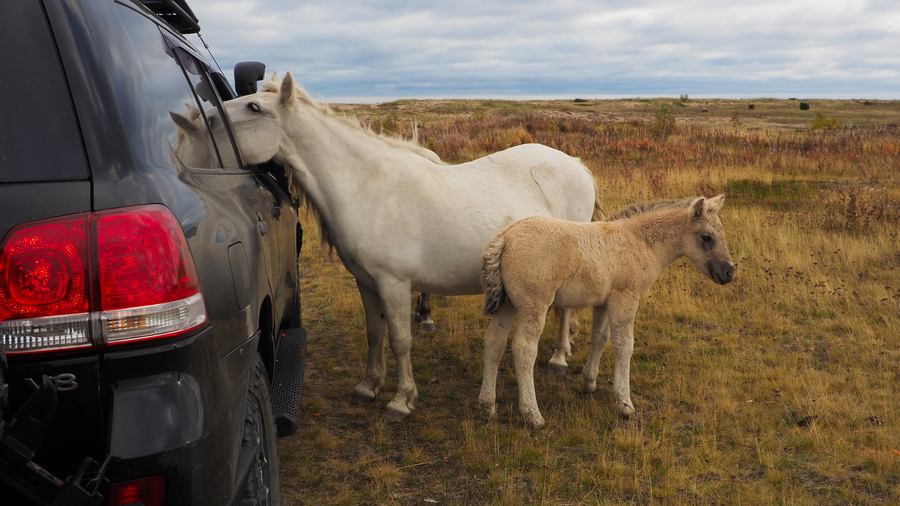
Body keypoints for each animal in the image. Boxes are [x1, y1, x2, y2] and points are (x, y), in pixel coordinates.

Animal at [212, 72, 604, 420]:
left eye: (253, 107)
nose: (200, 119)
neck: (367, 185)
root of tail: (576, 165)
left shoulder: (394, 283)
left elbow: (400, 339)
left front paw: (401, 400)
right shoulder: (367, 282)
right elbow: (375, 332)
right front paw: (368, 386)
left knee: (566, 310)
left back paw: (559, 357)